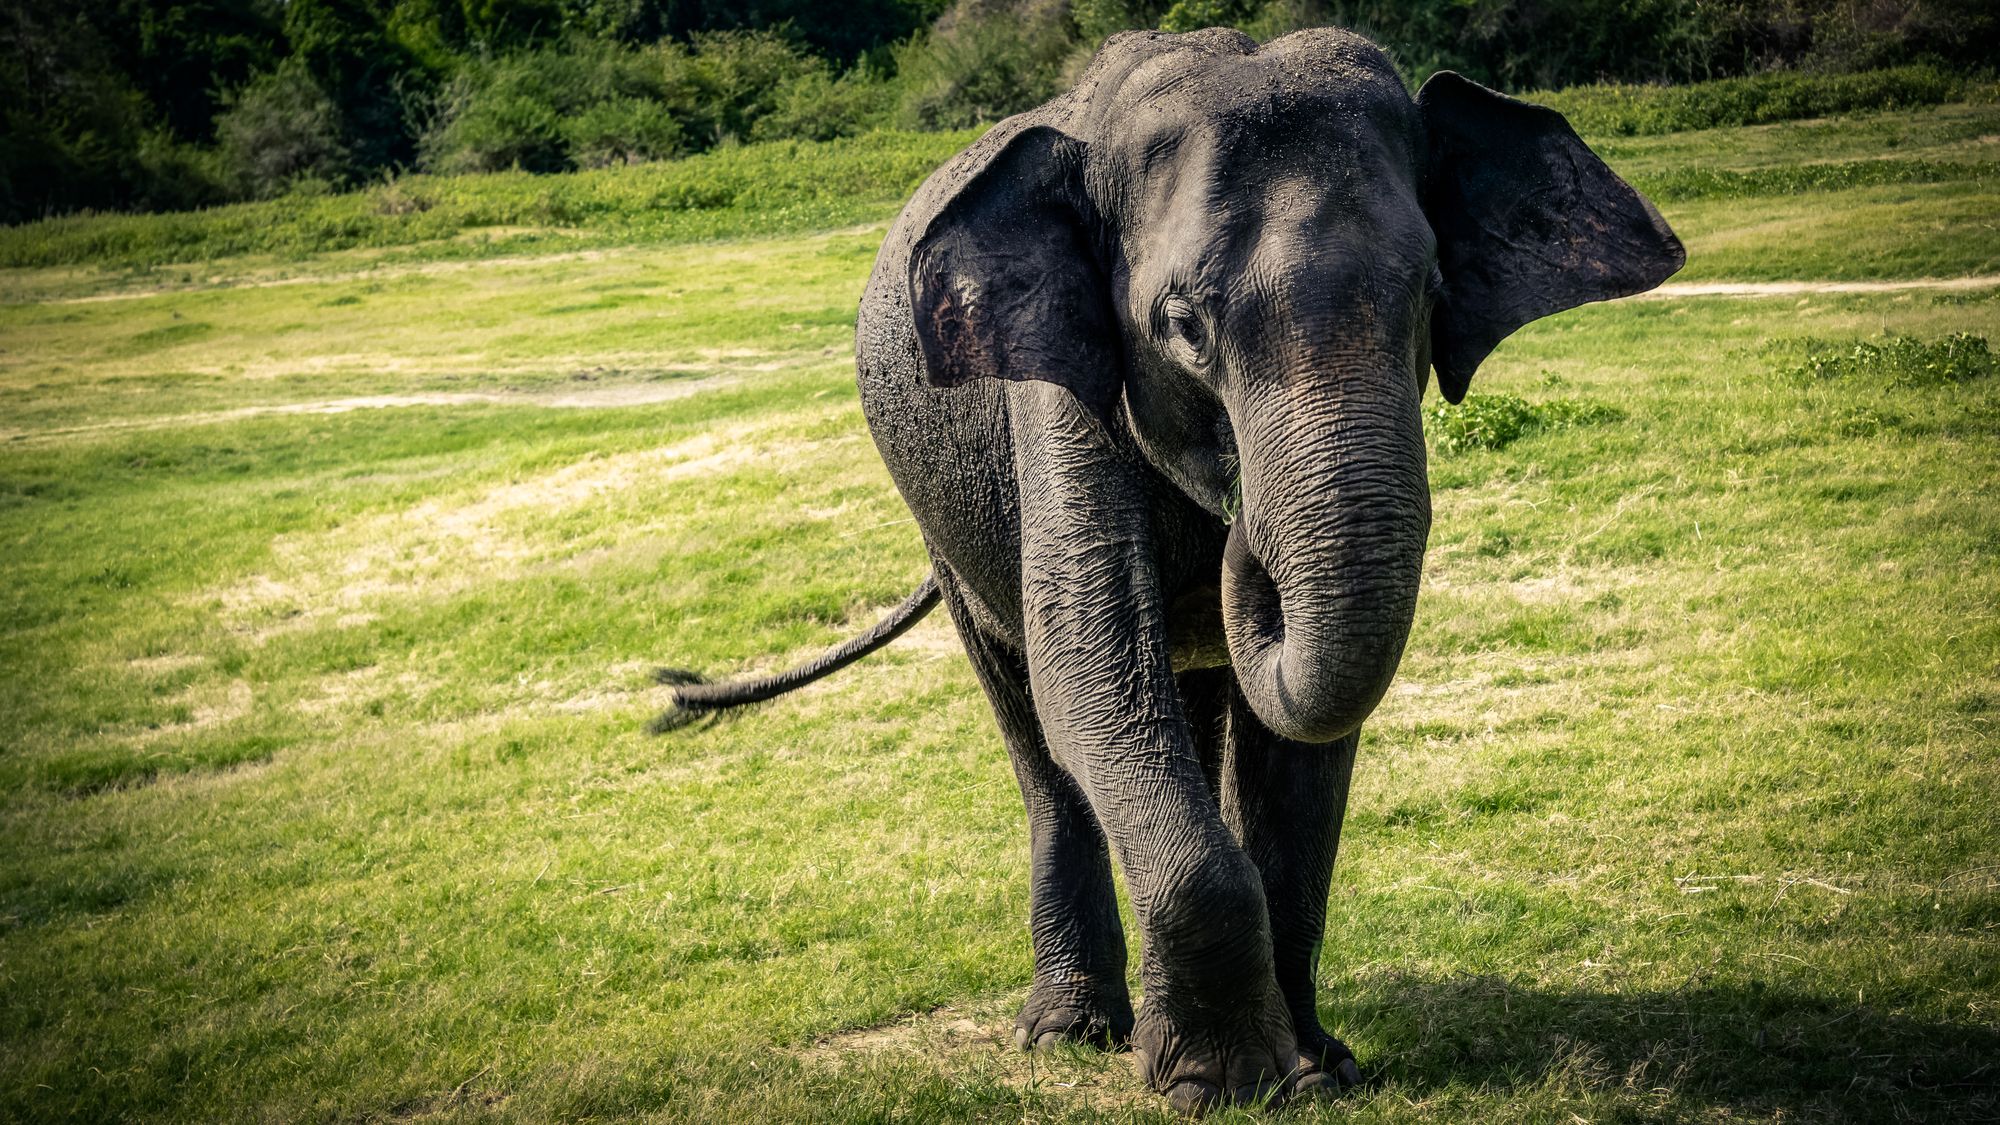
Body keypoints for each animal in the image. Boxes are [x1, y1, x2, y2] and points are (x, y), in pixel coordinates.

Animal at [652, 26, 1672, 1112]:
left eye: (1429, 298)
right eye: (1182, 326)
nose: (1240, 535)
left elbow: (1304, 741)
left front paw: (1320, 1069)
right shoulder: (1055, 386)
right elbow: (1089, 670)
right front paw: (1216, 1083)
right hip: (941, 523)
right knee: (1035, 726)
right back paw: (1069, 1031)